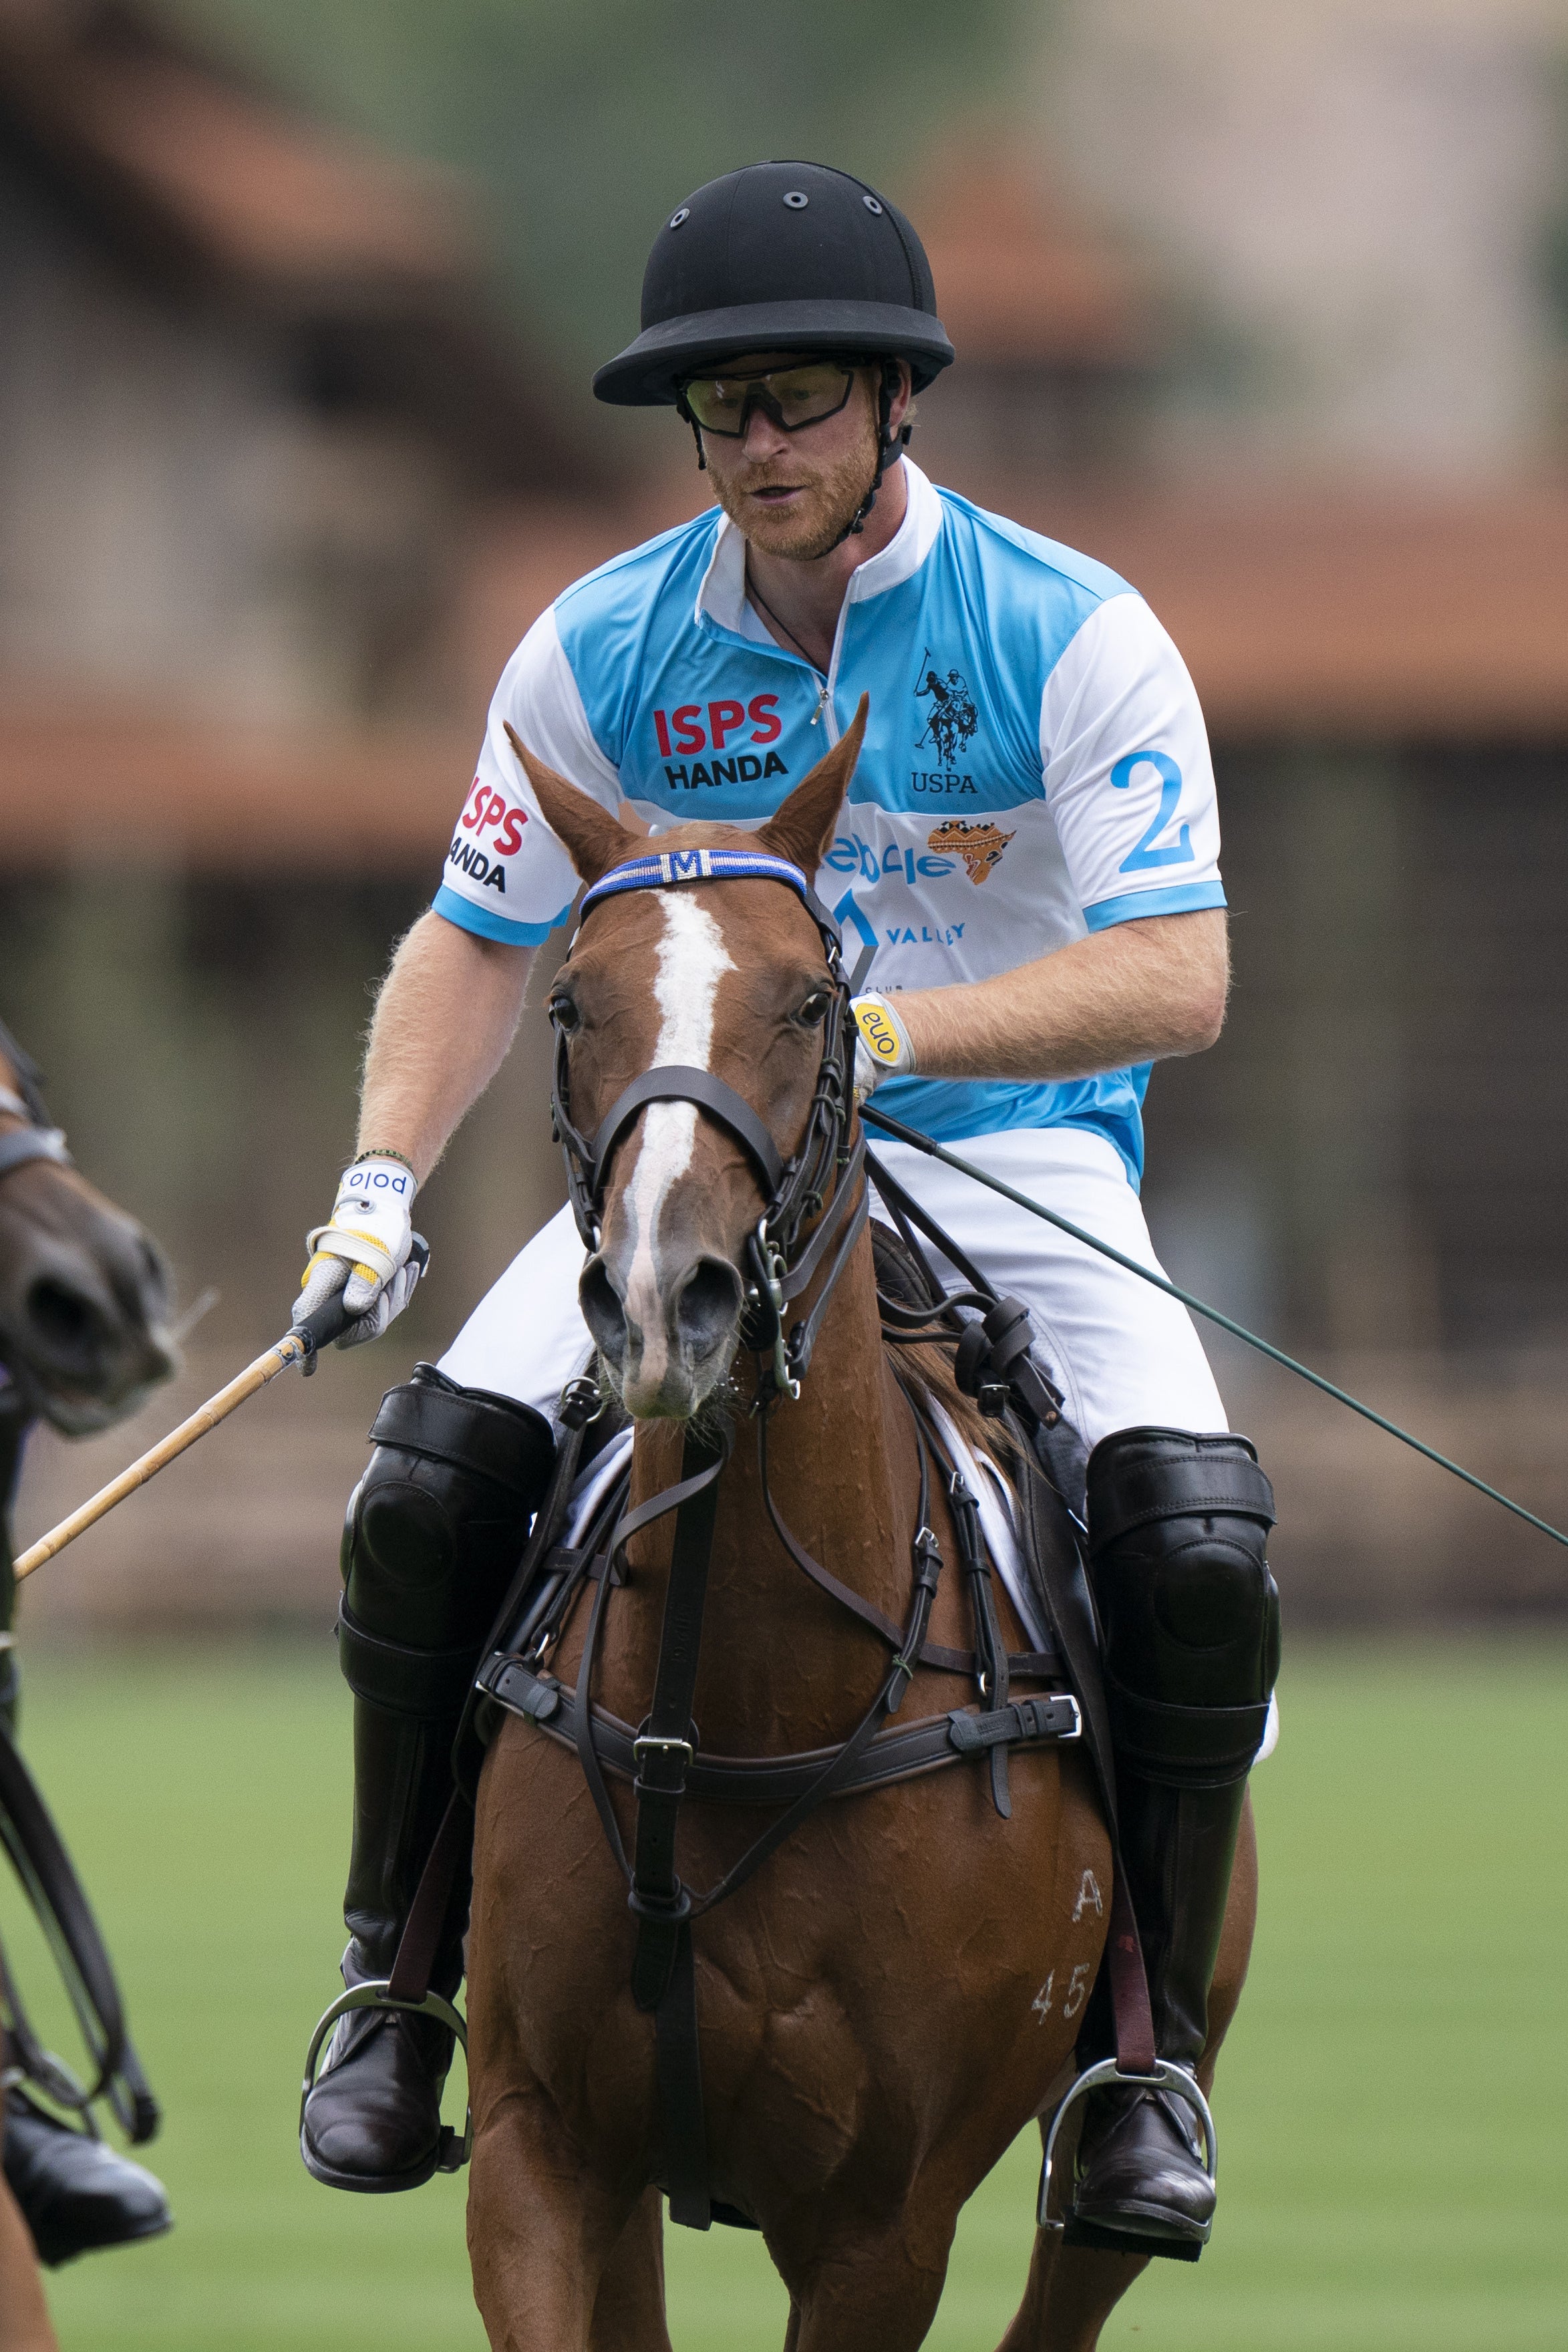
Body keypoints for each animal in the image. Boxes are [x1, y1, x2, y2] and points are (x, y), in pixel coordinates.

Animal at [460, 720, 1260, 2352]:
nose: (666, 1301)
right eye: (570, 1003)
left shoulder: (884, 2227)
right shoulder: (539, 2150)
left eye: (814, 999)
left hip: (1140, 2093)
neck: (730, 1699)